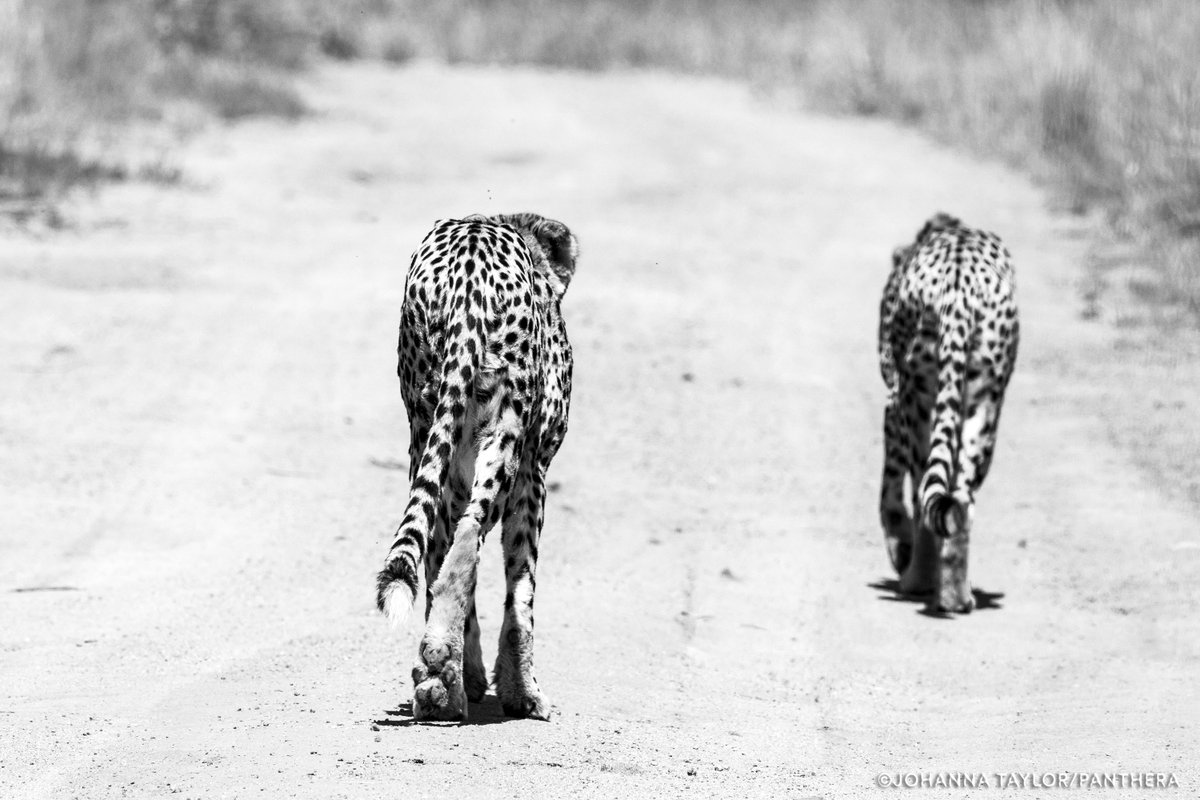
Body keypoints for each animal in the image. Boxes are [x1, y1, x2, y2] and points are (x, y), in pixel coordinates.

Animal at [376, 212, 578, 721]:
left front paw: (475, 675)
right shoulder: (533, 472)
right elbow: (521, 588)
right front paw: (522, 691)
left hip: (427, 429)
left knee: (435, 543)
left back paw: (442, 678)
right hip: (503, 436)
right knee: (469, 531)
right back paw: (442, 672)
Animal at [877, 212, 1019, 614]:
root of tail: (959, 288)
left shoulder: (894, 403)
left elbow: (891, 493)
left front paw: (899, 549)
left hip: (920, 403)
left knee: (925, 489)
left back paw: (918, 580)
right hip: (983, 407)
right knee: (960, 501)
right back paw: (956, 595)